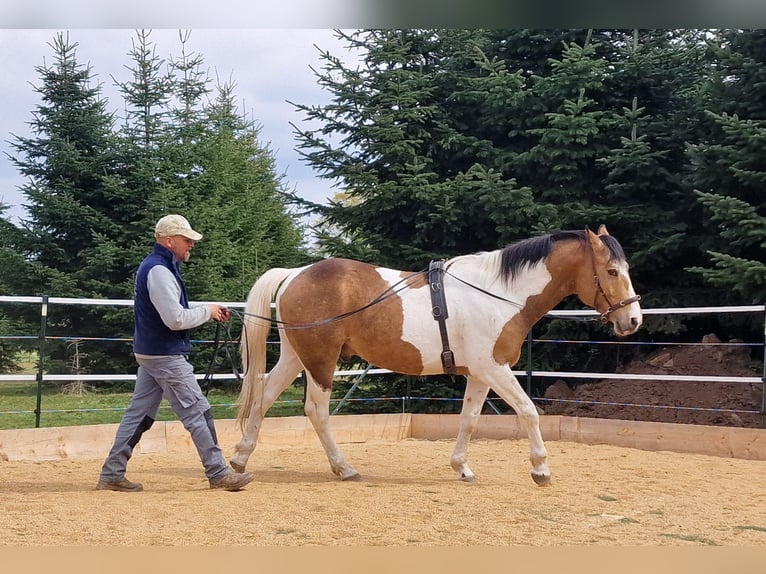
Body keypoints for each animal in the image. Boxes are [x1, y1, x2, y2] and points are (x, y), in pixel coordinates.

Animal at [230, 225, 642, 485]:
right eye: (611, 271)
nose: (633, 319)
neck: (499, 294)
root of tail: (296, 273)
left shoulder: (479, 374)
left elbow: (469, 420)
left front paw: (462, 468)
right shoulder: (494, 369)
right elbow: (528, 411)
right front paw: (541, 470)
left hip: (295, 357)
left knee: (263, 398)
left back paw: (239, 460)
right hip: (321, 362)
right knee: (316, 411)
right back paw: (343, 468)